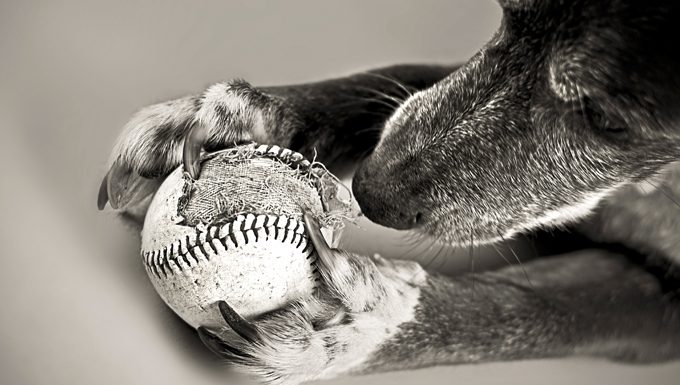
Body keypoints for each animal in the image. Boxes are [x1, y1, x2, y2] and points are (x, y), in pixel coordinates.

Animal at [98, 0, 680, 384]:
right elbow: (398, 81)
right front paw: (246, 115)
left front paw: (360, 321)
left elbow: (528, 311)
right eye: (506, 11)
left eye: (605, 119)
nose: (369, 192)